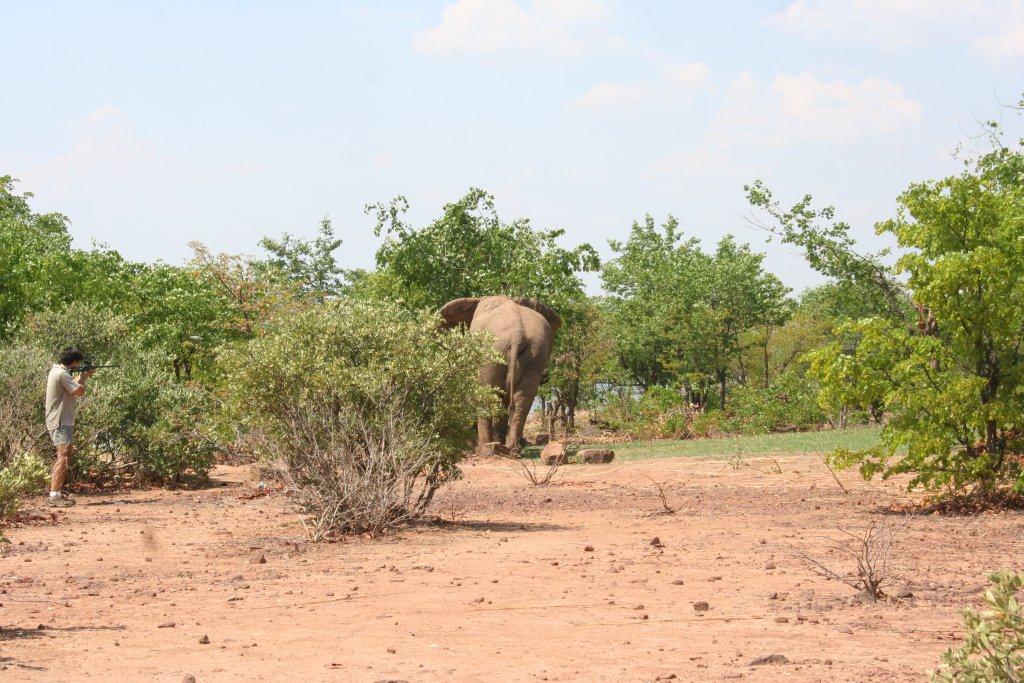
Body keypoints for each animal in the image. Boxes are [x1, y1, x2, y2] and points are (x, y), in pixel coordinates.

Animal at [440, 295, 561, 451]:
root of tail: (517, 335)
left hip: (492, 350)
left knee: (487, 393)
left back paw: (485, 447)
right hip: (536, 353)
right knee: (522, 399)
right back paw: (513, 449)